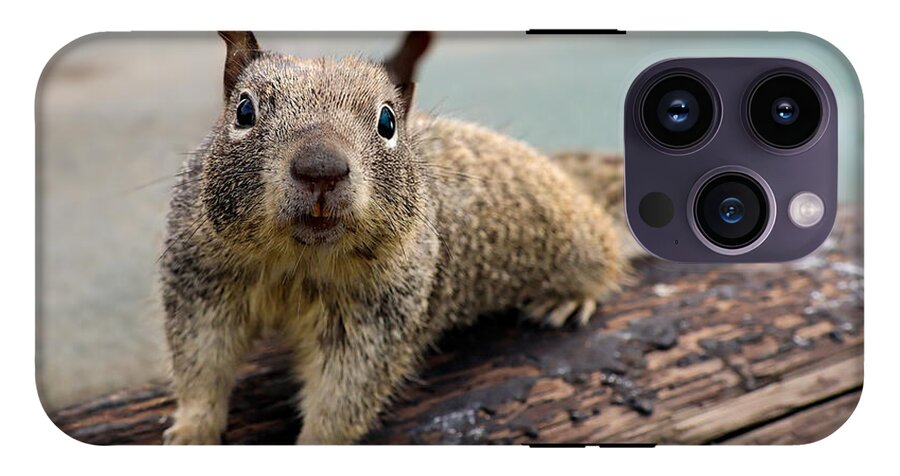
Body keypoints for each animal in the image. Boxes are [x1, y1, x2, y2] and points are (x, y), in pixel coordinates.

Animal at [161, 31, 632, 445]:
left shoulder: (377, 318)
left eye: (387, 121)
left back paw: (568, 297)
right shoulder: (202, 284)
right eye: (244, 111)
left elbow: (343, 397)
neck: (299, 261)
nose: (320, 169)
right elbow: (201, 366)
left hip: (577, 240)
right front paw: (191, 432)